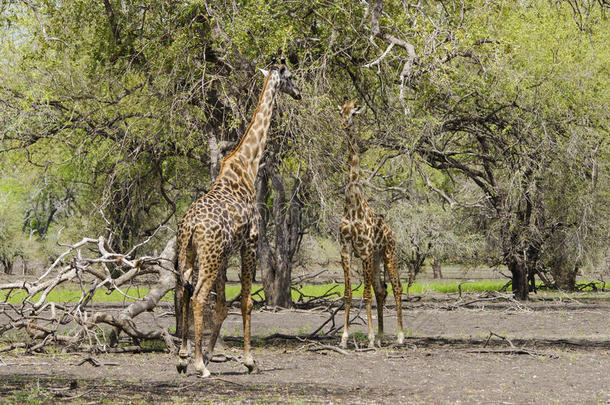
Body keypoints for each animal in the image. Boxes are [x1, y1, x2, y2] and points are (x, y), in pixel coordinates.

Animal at [175, 62, 300, 376]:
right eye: (290, 78)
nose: (299, 93)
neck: (247, 166)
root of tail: (190, 226)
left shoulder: (226, 253)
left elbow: (222, 306)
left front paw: (208, 353)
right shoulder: (250, 241)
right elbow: (245, 302)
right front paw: (249, 360)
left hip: (191, 253)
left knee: (183, 291)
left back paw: (182, 358)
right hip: (209, 255)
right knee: (198, 296)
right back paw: (199, 366)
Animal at [338, 97, 404, 348]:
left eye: (354, 113)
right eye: (342, 111)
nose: (344, 124)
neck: (353, 202)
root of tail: (392, 231)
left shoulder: (365, 249)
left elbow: (365, 294)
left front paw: (369, 337)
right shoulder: (345, 247)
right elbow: (348, 293)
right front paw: (344, 338)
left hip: (388, 253)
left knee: (396, 287)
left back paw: (399, 336)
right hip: (376, 259)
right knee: (381, 289)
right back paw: (383, 335)